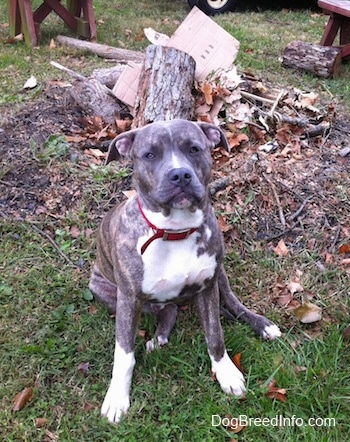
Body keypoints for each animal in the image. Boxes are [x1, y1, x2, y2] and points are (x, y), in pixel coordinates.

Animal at [89, 119, 280, 424]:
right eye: (149, 154)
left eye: (193, 149)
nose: (179, 175)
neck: (174, 231)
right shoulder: (128, 299)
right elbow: (124, 354)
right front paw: (117, 397)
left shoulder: (208, 286)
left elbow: (215, 336)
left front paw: (226, 373)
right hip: (104, 289)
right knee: (166, 309)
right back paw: (160, 336)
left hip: (219, 273)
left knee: (232, 303)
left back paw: (261, 324)